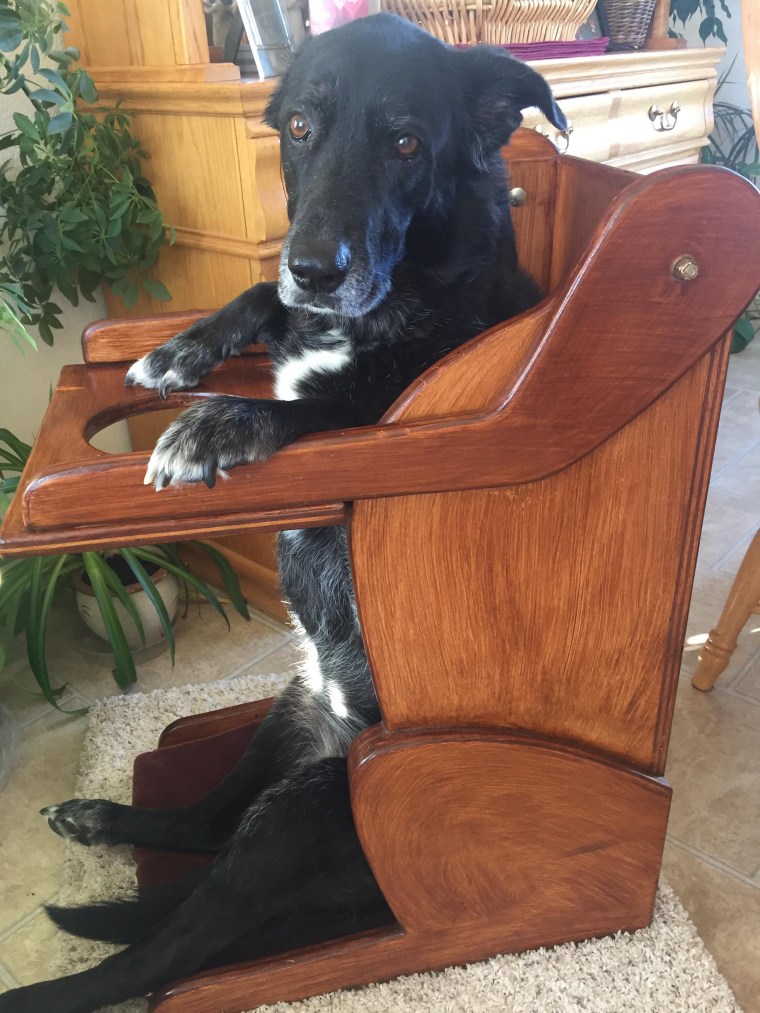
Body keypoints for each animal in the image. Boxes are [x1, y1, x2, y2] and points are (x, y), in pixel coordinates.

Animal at [0, 15, 567, 1013]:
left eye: (406, 142)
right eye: (299, 127)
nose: (313, 268)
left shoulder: (398, 415)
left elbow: (323, 407)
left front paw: (217, 421)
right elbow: (259, 296)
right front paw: (182, 349)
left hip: (300, 817)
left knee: (159, 955)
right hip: (285, 715)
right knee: (197, 824)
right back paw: (101, 814)